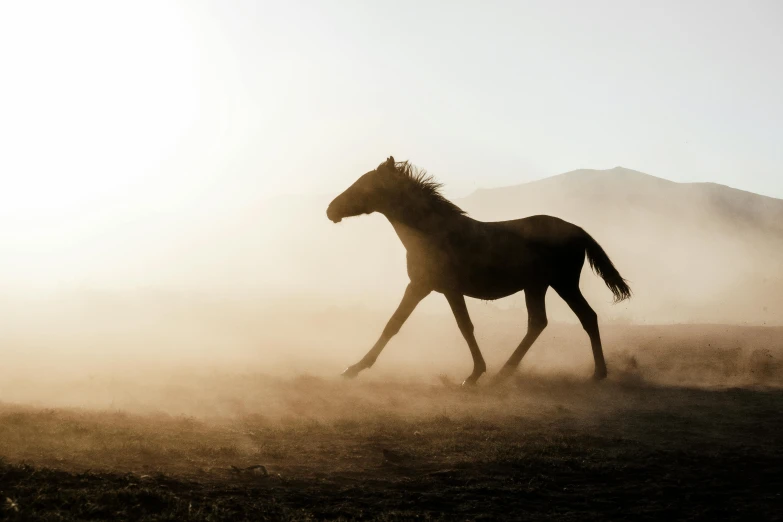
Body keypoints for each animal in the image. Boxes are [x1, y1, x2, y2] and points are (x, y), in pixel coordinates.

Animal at [324, 156, 632, 384]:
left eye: (364, 185)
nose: (330, 210)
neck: (431, 233)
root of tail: (578, 230)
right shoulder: (429, 288)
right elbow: (401, 323)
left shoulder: (432, 287)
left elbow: (451, 326)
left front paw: (473, 375)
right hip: (538, 286)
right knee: (542, 322)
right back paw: (505, 373)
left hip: (562, 283)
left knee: (583, 317)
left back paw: (595, 373)